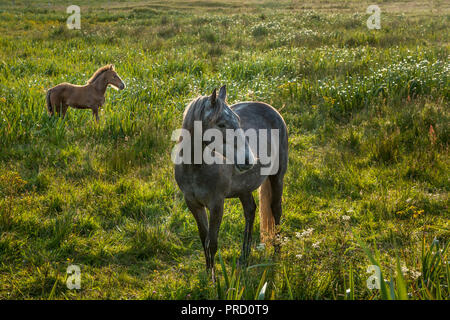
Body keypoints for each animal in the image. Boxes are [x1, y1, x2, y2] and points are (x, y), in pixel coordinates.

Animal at [173, 85, 288, 278]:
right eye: (221, 124)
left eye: (238, 121)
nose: (249, 159)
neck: (195, 168)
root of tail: (271, 109)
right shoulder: (193, 204)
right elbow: (203, 239)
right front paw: (207, 274)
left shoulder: (216, 205)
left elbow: (212, 243)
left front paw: (214, 280)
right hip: (244, 188)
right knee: (250, 211)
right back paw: (244, 257)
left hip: (277, 177)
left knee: (275, 210)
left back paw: (277, 253)